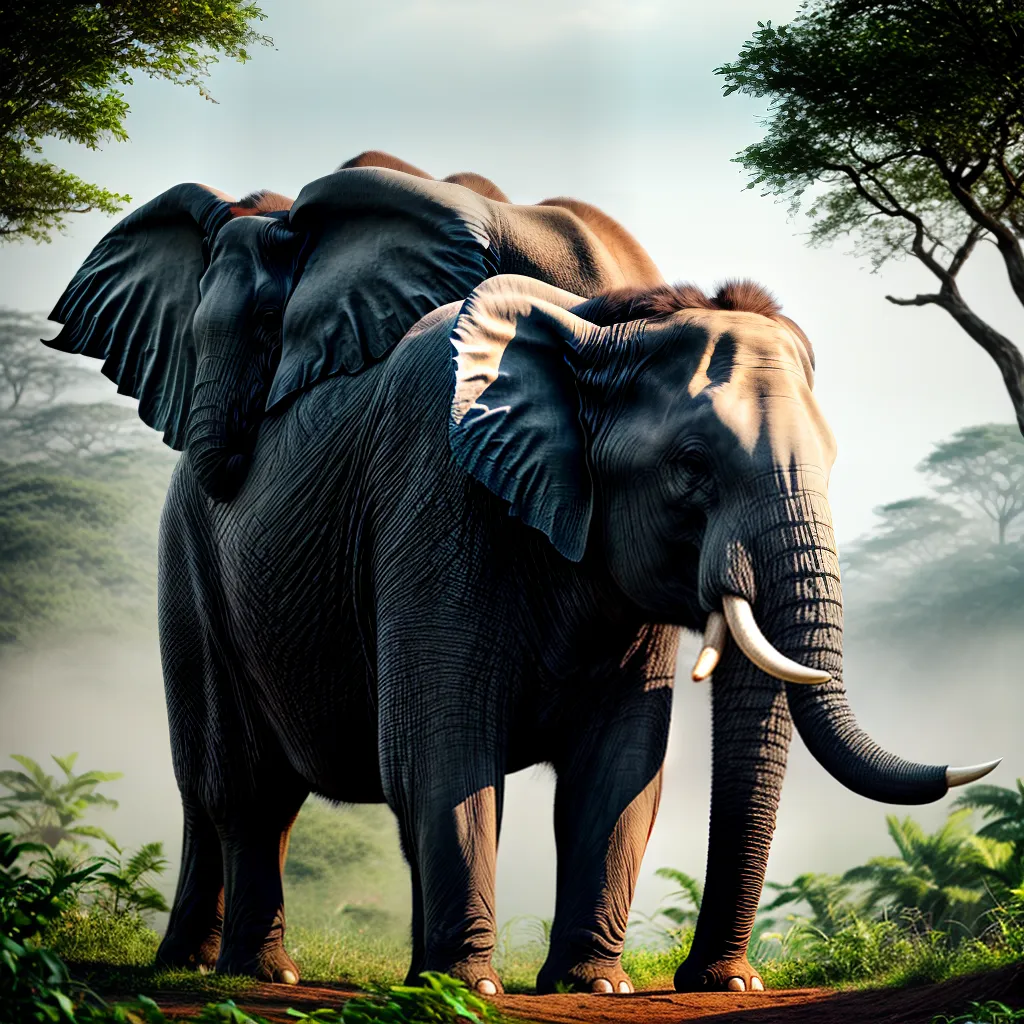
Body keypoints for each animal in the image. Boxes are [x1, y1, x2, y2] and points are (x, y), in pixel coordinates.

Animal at [45, 162, 999, 997]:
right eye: (690, 467)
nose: (719, 976)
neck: (592, 344)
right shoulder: (433, 498)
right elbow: (442, 747)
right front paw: (469, 987)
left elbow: (620, 766)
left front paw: (595, 985)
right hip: (190, 570)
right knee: (244, 790)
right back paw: (258, 974)